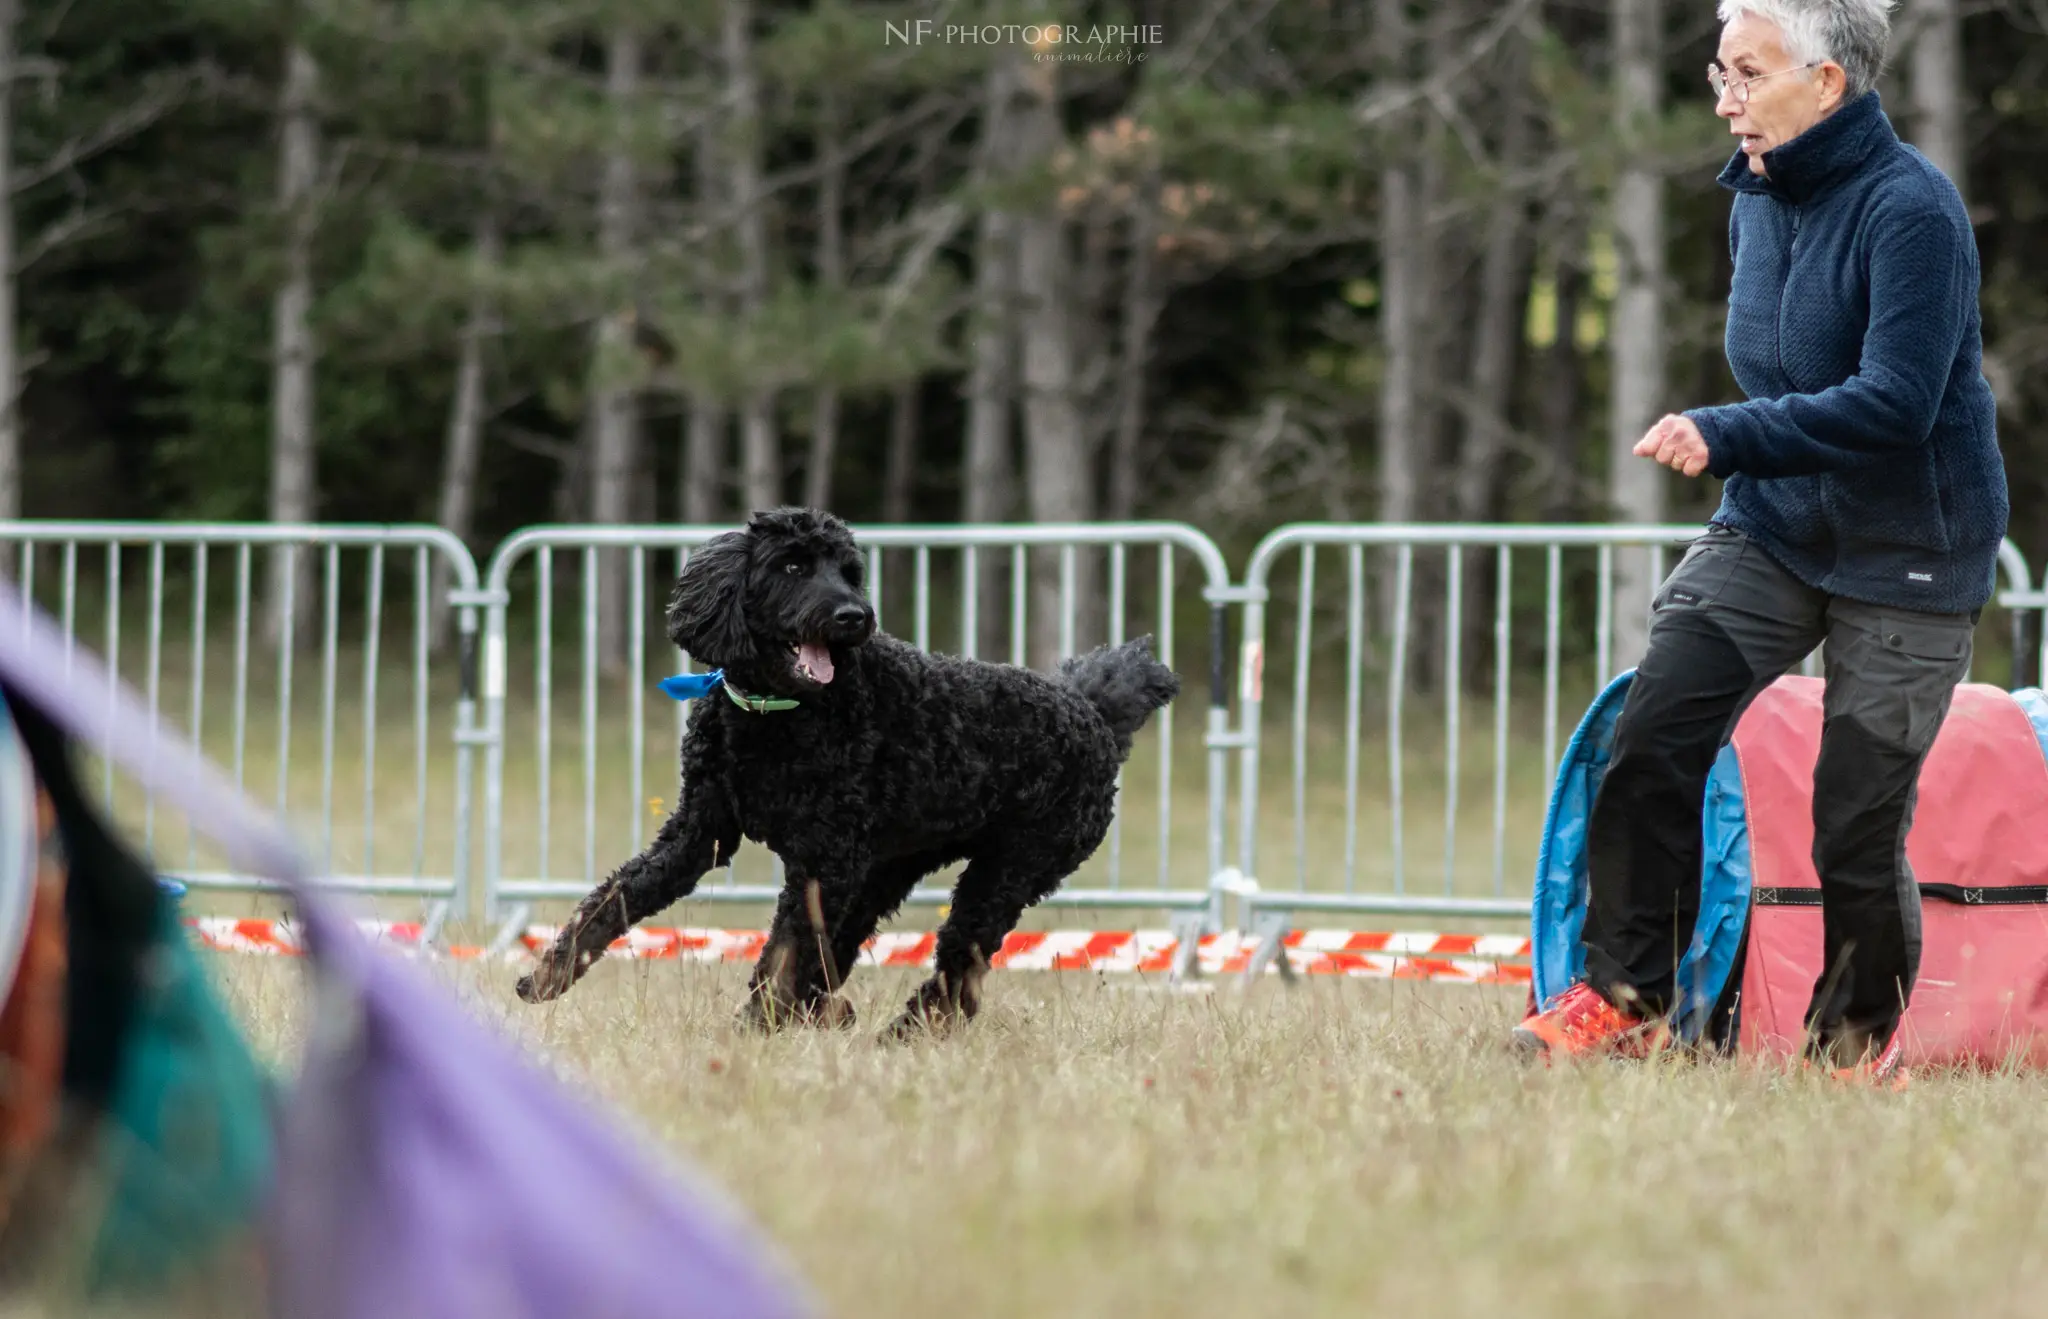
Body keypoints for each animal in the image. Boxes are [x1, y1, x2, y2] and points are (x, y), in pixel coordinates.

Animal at [516, 509, 1187, 1036]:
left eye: (849, 571)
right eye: (792, 567)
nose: (854, 616)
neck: (776, 713)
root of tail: (1091, 711)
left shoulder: (823, 859)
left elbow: (783, 954)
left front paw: (752, 1031)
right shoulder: (698, 835)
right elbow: (613, 900)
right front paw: (549, 974)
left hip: (1007, 872)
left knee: (959, 965)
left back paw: (905, 1032)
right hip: (884, 872)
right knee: (844, 953)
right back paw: (826, 1017)